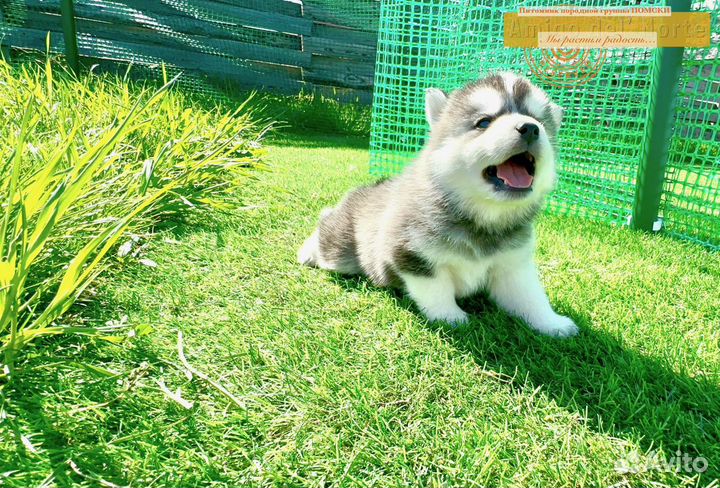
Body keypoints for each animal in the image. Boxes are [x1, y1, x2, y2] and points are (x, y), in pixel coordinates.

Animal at [298, 72, 580, 338]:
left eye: (539, 120)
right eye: (484, 122)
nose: (530, 128)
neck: (482, 219)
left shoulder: (513, 266)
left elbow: (531, 297)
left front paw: (552, 323)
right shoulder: (410, 254)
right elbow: (437, 289)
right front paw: (451, 317)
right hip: (339, 250)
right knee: (325, 227)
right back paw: (308, 251)